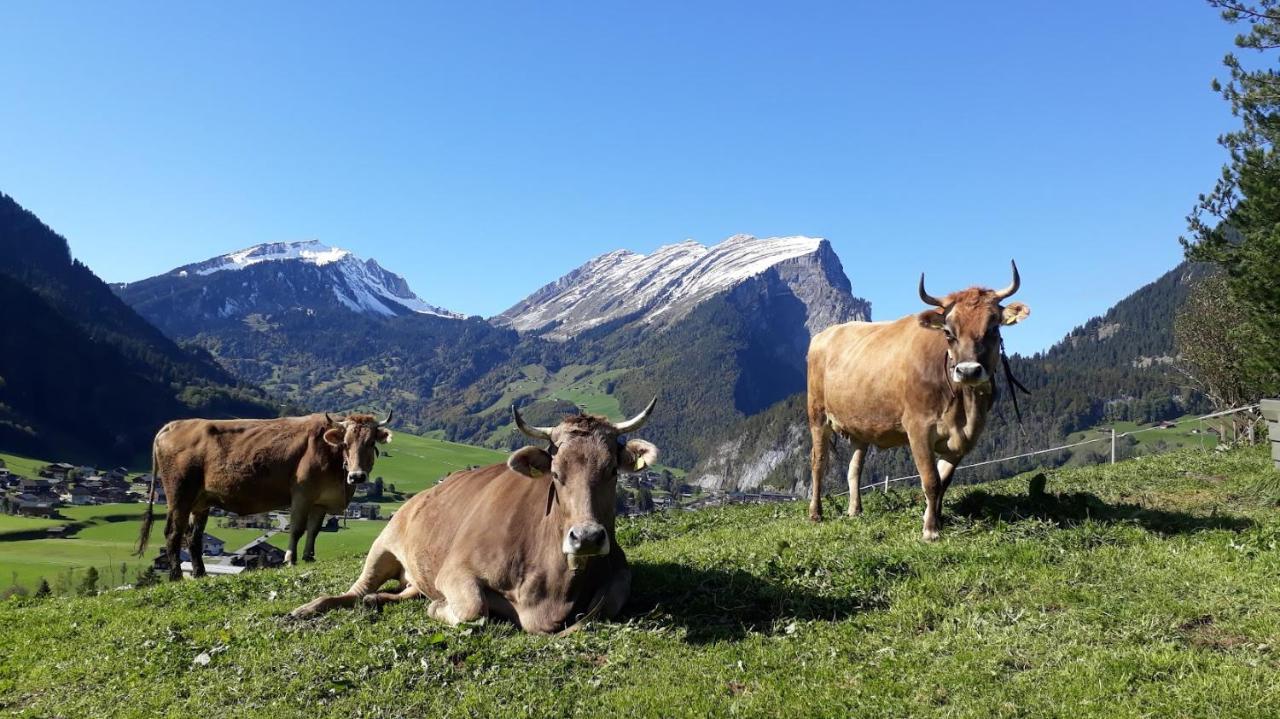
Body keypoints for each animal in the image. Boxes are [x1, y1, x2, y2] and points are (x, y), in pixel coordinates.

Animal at [136, 409, 389, 575]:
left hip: (200, 501)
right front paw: (290, 559)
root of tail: (174, 424)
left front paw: (309, 557)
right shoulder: (302, 494)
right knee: (173, 533)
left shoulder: (321, 501)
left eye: (370, 443)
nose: (357, 476)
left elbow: (314, 531)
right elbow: (297, 529)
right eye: (345, 443)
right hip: (179, 495)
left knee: (194, 537)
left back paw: (200, 573)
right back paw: (177, 576)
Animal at [291, 396, 660, 632]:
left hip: (416, 574)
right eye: (556, 473)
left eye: (612, 470)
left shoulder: (619, 576)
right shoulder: (456, 572)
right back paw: (307, 608)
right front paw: (439, 609)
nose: (587, 537)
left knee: (399, 591)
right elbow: (473, 609)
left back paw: (375, 600)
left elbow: (605, 606)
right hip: (382, 547)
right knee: (352, 591)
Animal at [808, 258, 1029, 537]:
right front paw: (930, 530)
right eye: (949, 333)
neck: (964, 408)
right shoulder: (918, 428)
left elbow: (943, 481)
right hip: (817, 416)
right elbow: (931, 480)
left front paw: (935, 519)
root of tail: (825, 334)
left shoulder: (965, 438)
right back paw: (816, 513)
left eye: (993, 328)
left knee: (854, 469)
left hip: (860, 426)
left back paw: (855, 511)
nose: (968, 370)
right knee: (818, 463)